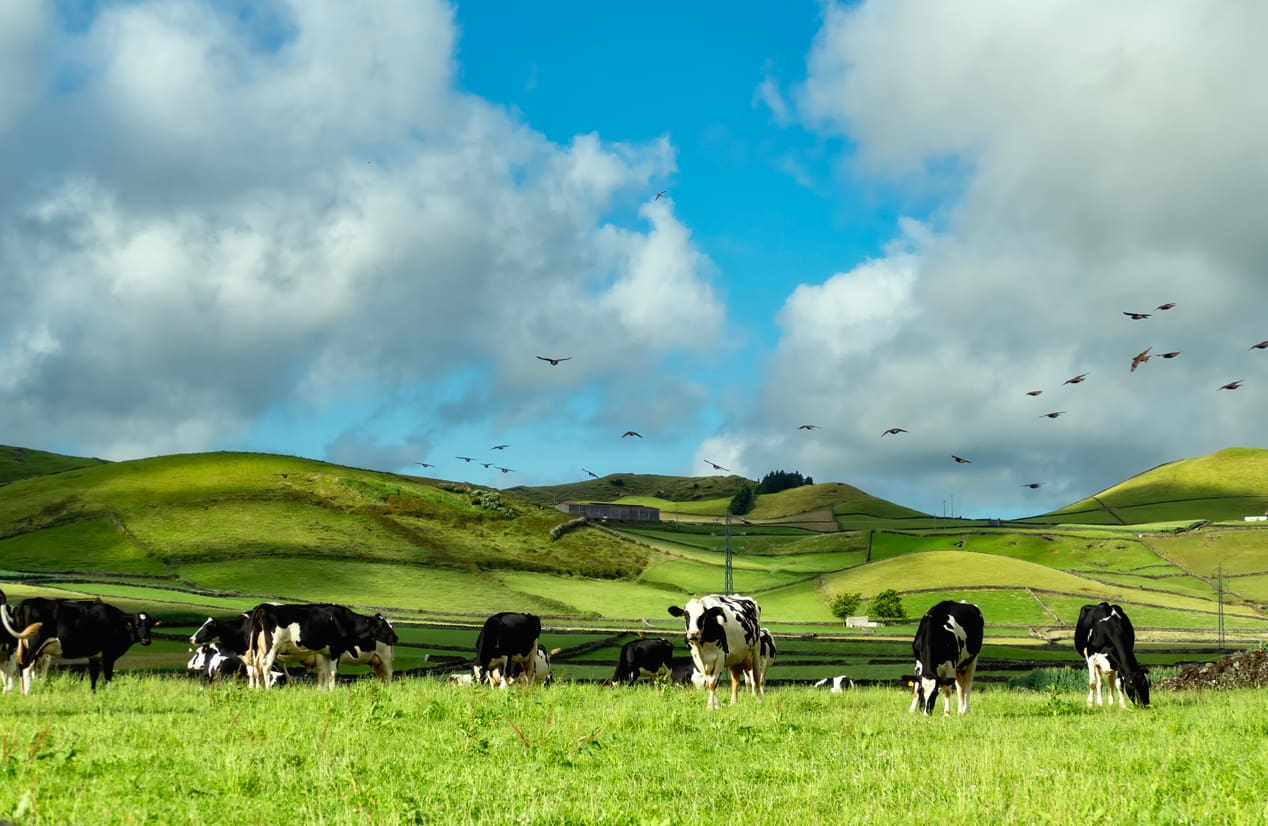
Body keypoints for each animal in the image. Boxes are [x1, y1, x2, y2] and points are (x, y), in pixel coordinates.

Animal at [0, 598, 157, 695]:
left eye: (149, 625)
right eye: (137, 625)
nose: (146, 640)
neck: (116, 621)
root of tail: (27, 601)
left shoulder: (95, 655)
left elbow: (94, 675)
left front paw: (94, 693)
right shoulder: (108, 654)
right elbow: (107, 675)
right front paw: (108, 693)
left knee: (21, 667)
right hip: (34, 644)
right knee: (25, 666)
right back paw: (26, 692)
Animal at [245, 601, 395, 690]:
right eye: (382, 625)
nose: (396, 638)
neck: (344, 620)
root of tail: (265, 606)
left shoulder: (324, 653)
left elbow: (325, 673)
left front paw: (324, 691)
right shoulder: (335, 649)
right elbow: (331, 673)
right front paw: (331, 691)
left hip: (260, 649)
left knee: (256, 666)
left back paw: (258, 689)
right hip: (272, 646)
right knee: (265, 666)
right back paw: (267, 689)